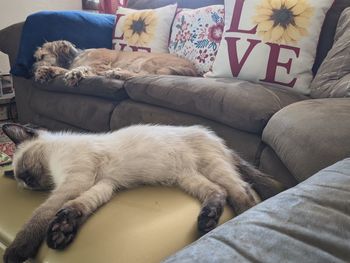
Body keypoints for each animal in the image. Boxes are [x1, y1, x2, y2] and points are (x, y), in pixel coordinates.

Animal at [1, 124, 284, 263]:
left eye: (24, 168)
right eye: (23, 180)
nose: (27, 181)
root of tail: (220, 141)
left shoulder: (75, 180)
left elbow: (42, 214)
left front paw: (14, 253)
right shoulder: (105, 184)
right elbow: (79, 207)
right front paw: (62, 232)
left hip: (211, 167)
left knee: (243, 192)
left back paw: (240, 220)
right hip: (186, 176)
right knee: (218, 191)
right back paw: (207, 220)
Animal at [33, 39, 200, 86]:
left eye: (42, 56)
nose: (30, 69)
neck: (75, 56)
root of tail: (193, 69)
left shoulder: (99, 65)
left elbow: (83, 68)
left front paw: (76, 73)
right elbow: (63, 70)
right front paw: (45, 72)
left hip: (147, 61)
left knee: (142, 75)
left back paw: (117, 73)